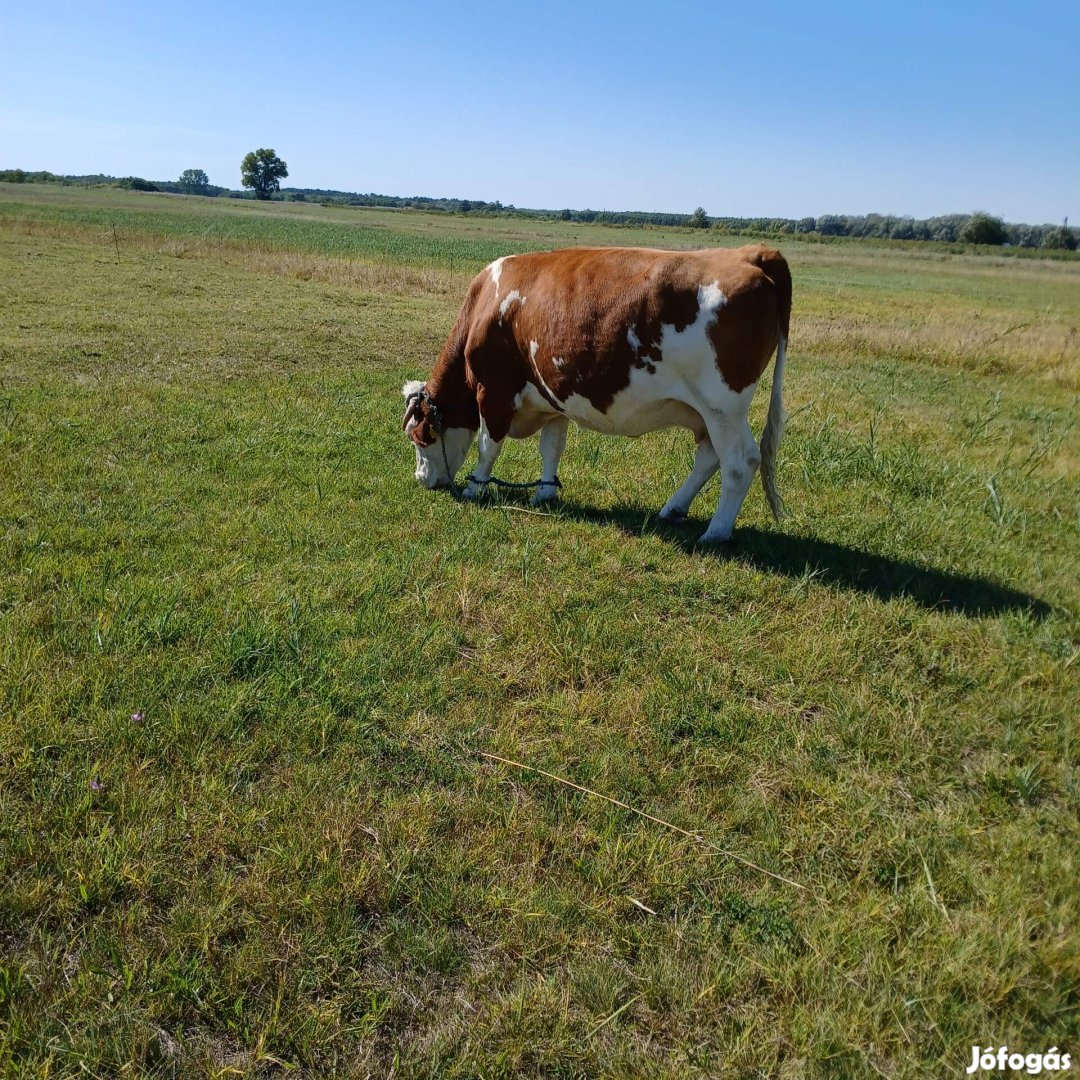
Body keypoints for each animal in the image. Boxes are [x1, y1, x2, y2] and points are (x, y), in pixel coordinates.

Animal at [401, 247, 790, 544]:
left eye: (419, 437)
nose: (420, 479)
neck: (486, 304)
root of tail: (750, 252)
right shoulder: (552, 397)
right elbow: (552, 447)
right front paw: (545, 491)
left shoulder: (494, 391)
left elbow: (488, 447)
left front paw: (475, 487)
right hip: (707, 412)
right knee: (710, 456)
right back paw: (673, 508)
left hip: (722, 406)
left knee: (739, 461)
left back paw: (715, 532)